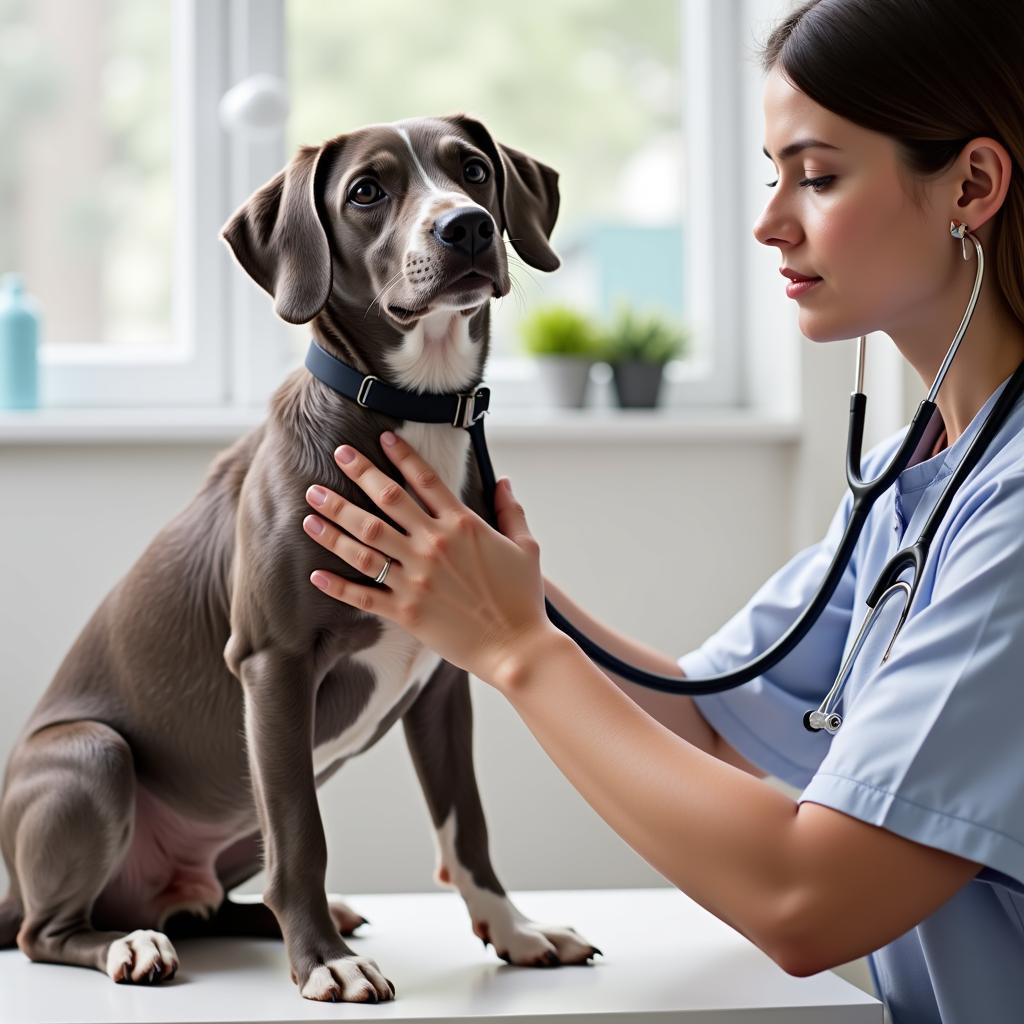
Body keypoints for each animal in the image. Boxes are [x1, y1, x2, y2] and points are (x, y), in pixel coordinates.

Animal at [0, 116, 598, 1003]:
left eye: (475, 171)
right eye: (367, 191)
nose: (465, 228)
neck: (415, 409)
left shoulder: (445, 681)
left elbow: (467, 826)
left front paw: (516, 932)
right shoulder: (273, 663)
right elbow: (303, 839)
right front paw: (324, 963)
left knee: (206, 902)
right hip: (95, 756)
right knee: (49, 932)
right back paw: (130, 946)